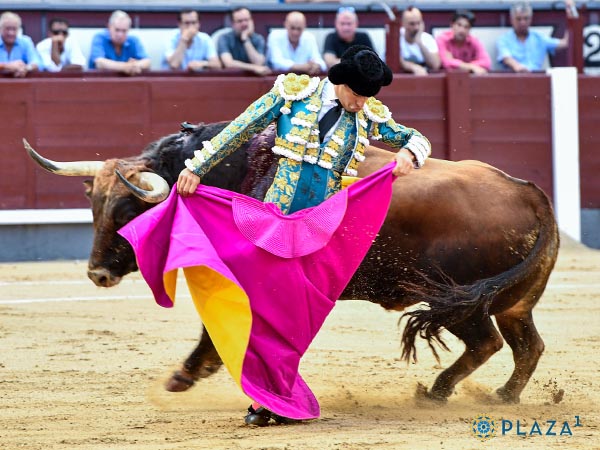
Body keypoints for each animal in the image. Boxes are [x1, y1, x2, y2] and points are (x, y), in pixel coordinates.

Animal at [23, 122, 556, 404]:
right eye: (95, 209)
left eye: (127, 214)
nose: (98, 274)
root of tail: (530, 194)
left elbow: (218, 331)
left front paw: (188, 374)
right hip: (512, 304)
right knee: (528, 346)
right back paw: (502, 396)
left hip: (458, 300)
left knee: (487, 343)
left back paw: (438, 393)